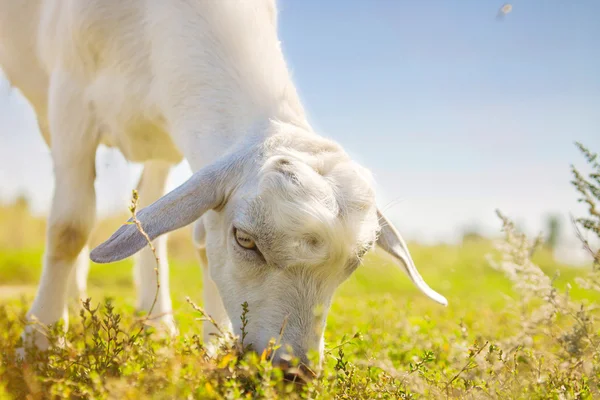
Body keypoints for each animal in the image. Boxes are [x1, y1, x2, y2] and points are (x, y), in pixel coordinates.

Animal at [0, 0, 446, 368]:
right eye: (245, 240)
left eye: (354, 264)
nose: (293, 370)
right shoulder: (70, 102)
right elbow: (68, 228)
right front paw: (40, 339)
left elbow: (186, 237)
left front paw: (210, 341)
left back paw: (155, 324)